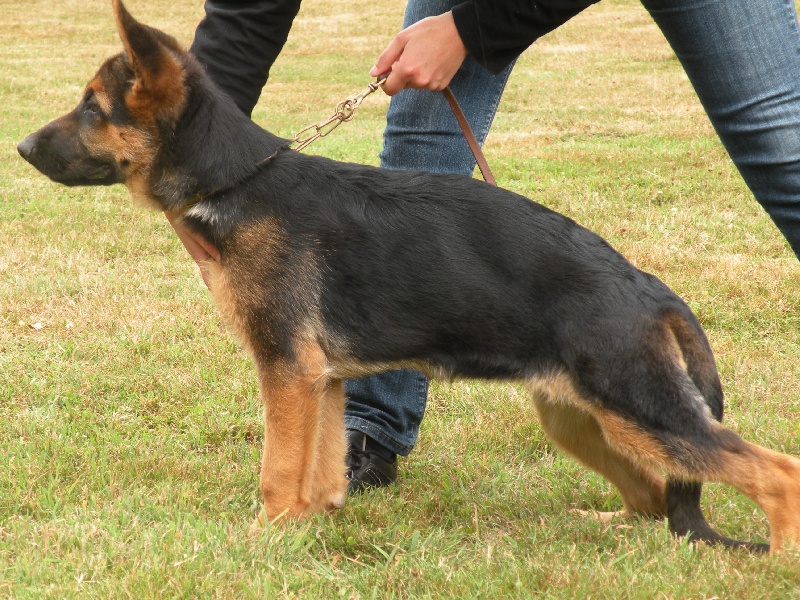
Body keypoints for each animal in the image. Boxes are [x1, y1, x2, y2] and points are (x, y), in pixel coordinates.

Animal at [15, 0, 796, 552]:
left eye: (92, 107)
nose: (19, 147)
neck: (240, 179)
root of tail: (646, 286)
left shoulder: (287, 373)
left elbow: (277, 473)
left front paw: (259, 543)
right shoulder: (322, 382)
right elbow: (318, 474)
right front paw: (309, 529)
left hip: (640, 411)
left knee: (773, 474)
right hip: (579, 415)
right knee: (655, 500)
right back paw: (610, 524)